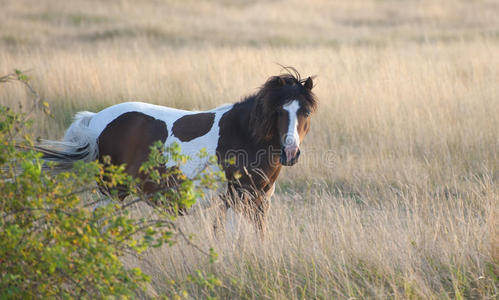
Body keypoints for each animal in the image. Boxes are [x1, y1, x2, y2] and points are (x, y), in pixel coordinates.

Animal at [41, 70, 318, 234]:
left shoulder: (259, 198)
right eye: (278, 111)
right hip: (112, 191)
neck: (244, 135)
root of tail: (95, 119)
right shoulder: (239, 195)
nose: (290, 152)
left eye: (305, 112)